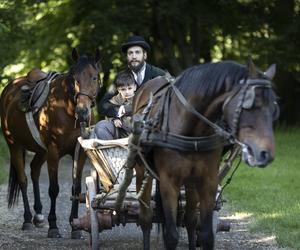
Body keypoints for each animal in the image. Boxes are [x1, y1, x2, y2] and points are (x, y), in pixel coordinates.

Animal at [0, 48, 102, 238]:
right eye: (75, 78)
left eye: (94, 77)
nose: (83, 112)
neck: (67, 109)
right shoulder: (54, 152)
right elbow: (54, 189)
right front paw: (53, 226)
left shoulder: (79, 153)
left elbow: (76, 188)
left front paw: (75, 226)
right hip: (14, 145)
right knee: (23, 179)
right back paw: (27, 219)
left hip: (41, 151)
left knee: (34, 170)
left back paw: (38, 215)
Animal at [131, 57, 278, 249]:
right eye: (250, 104)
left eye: (274, 108)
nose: (266, 153)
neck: (191, 131)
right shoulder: (169, 182)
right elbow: (171, 235)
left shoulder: (207, 181)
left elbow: (206, 234)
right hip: (142, 171)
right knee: (146, 219)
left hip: (190, 183)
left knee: (190, 220)